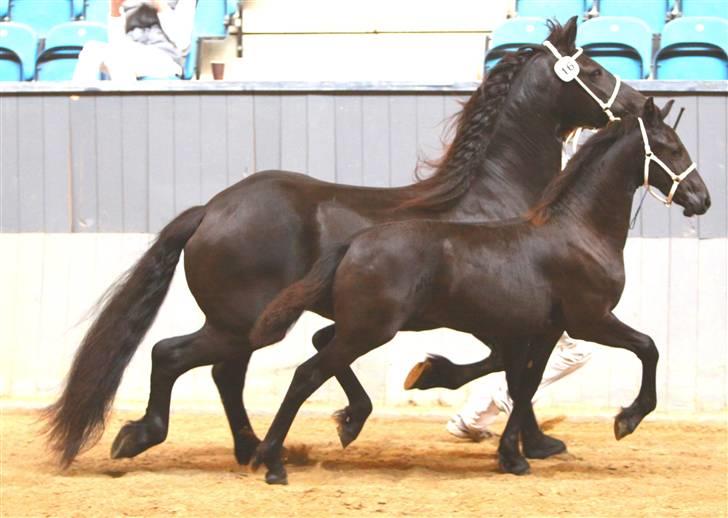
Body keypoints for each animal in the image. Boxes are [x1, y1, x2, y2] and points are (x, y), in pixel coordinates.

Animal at [44, 18, 644, 470]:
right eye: (593, 70)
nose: (641, 103)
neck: (499, 199)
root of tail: (211, 209)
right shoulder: (503, 317)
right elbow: (516, 370)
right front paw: (512, 434)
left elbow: (519, 371)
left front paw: (522, 440)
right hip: (241, 323)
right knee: (173, 357)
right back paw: (147, 436)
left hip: (244, 327)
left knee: (223, 374)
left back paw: (251, 448)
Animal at [250, 99, 712, 486]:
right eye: (672, 147)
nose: (702, 199)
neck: (580, 233)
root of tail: (353, 243)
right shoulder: (591, 320)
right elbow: (648, 347)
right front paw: (626, 420)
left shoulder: (545, 329)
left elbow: (525, 384)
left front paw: (513, 456)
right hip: (369, 329)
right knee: (307, 374)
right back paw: (271, 461)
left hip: (362, 326)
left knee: (319, 349)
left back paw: (341, 423)